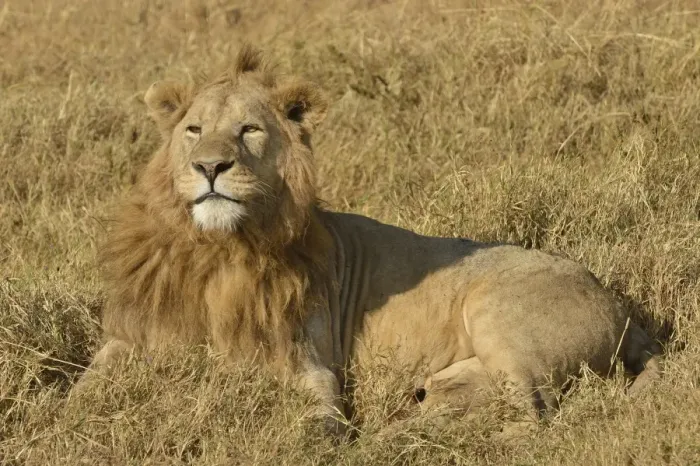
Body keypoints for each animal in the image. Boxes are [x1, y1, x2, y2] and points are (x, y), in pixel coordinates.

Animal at [82, 45, 662, 436]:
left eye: (249, 130)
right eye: (194, 130)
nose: (209, 167)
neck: (221, 248)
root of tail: (621, 308)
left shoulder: (310, 365)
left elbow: (318, 421)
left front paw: (328, 439)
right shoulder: (133, 337)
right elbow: (82, 390)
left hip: (499, 313)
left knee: (531, 415)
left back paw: (395, 439)